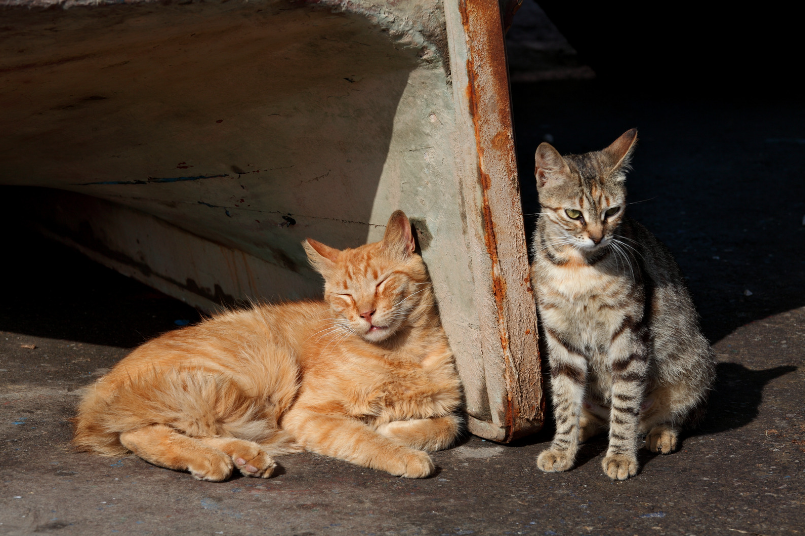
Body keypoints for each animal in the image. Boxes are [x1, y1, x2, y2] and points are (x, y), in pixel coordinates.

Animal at [77, 210, 464, 482]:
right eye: (345, 295)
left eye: (382, 283)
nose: (366, 314)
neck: (400, 354)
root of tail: (102, 385)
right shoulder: (308, 415)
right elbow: (364, 438)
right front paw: (402, 452)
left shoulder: (443, 404)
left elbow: (448, 426)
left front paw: (396, 430)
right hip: (255, 372)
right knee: (142, 431)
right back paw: (212, 459)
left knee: (162, 429)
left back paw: (242, 457)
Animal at [532, 131, 712, 482]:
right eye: (574, 214)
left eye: (613, 211)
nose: (597, 237)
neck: (578, 266)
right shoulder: (559, 335)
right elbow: (565, 399)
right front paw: (562, 448)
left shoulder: (629, 334)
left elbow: (625, 404)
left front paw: (620, 456)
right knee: (594, 414)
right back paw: (583, 428)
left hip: (694, 362)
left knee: (677, 414)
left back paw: (661, 432)